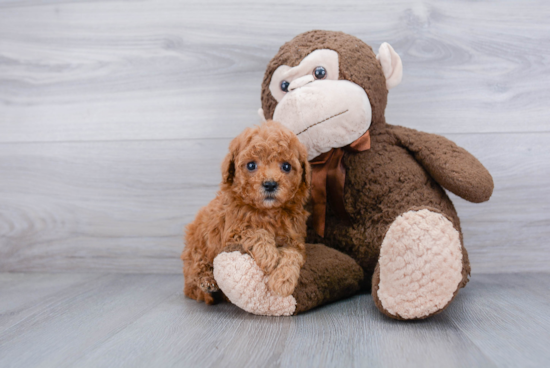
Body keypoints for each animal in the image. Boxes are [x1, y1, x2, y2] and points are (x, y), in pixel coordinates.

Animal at [181, 121, 310, 304]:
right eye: (251, 165)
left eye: (286, 166)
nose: (270, 184)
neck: (268, 212)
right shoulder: (233, 232)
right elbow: (256, 231)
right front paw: (268, 255)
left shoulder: (295, 240)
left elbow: (292, 255)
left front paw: (283, 281)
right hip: (197, 246)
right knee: (193, 275)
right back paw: (207, 282)